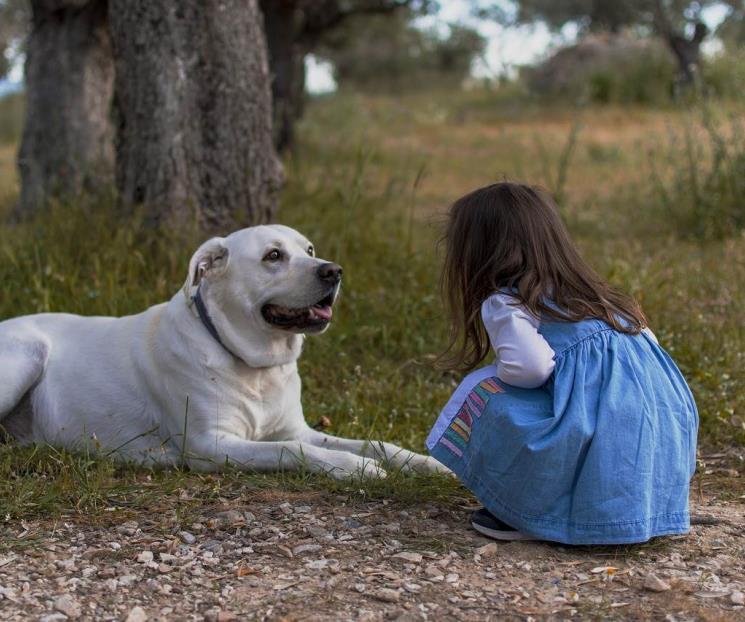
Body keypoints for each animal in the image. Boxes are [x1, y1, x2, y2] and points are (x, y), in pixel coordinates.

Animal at [0, 227, 448, 480]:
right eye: (273, 256)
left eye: (309, 249)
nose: (333, 271)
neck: (256, 365)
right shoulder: (211, 445)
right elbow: (293, 451)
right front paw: (353, 468)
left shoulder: (296, 428)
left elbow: (375, 443)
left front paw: (423, 463)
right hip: (27, 356)